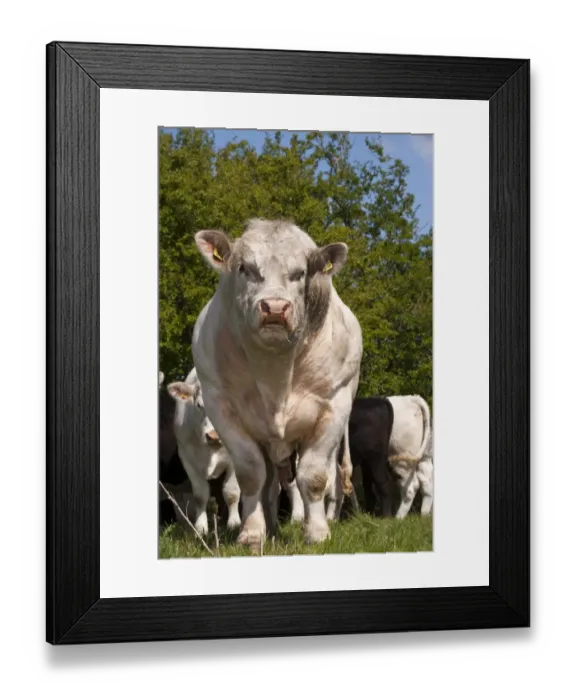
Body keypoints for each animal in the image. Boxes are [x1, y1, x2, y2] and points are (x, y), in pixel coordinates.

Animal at [167, 367, 241, 535]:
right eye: (199, 405)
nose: (214, 435)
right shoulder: (187, 457)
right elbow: (200, 495)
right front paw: (201, 528)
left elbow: (231, 492)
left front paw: (234, 524)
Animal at [191, 218, 363, 549]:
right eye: (244, 268)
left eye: (300, 273)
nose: (274, 307)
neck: (274, 371)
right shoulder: (221, 406)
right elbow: (251, 475)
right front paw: (251, 534)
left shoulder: (334, 404)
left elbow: (314, 476)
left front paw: (317, 533)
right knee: (269, 484)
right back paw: (269, 527)